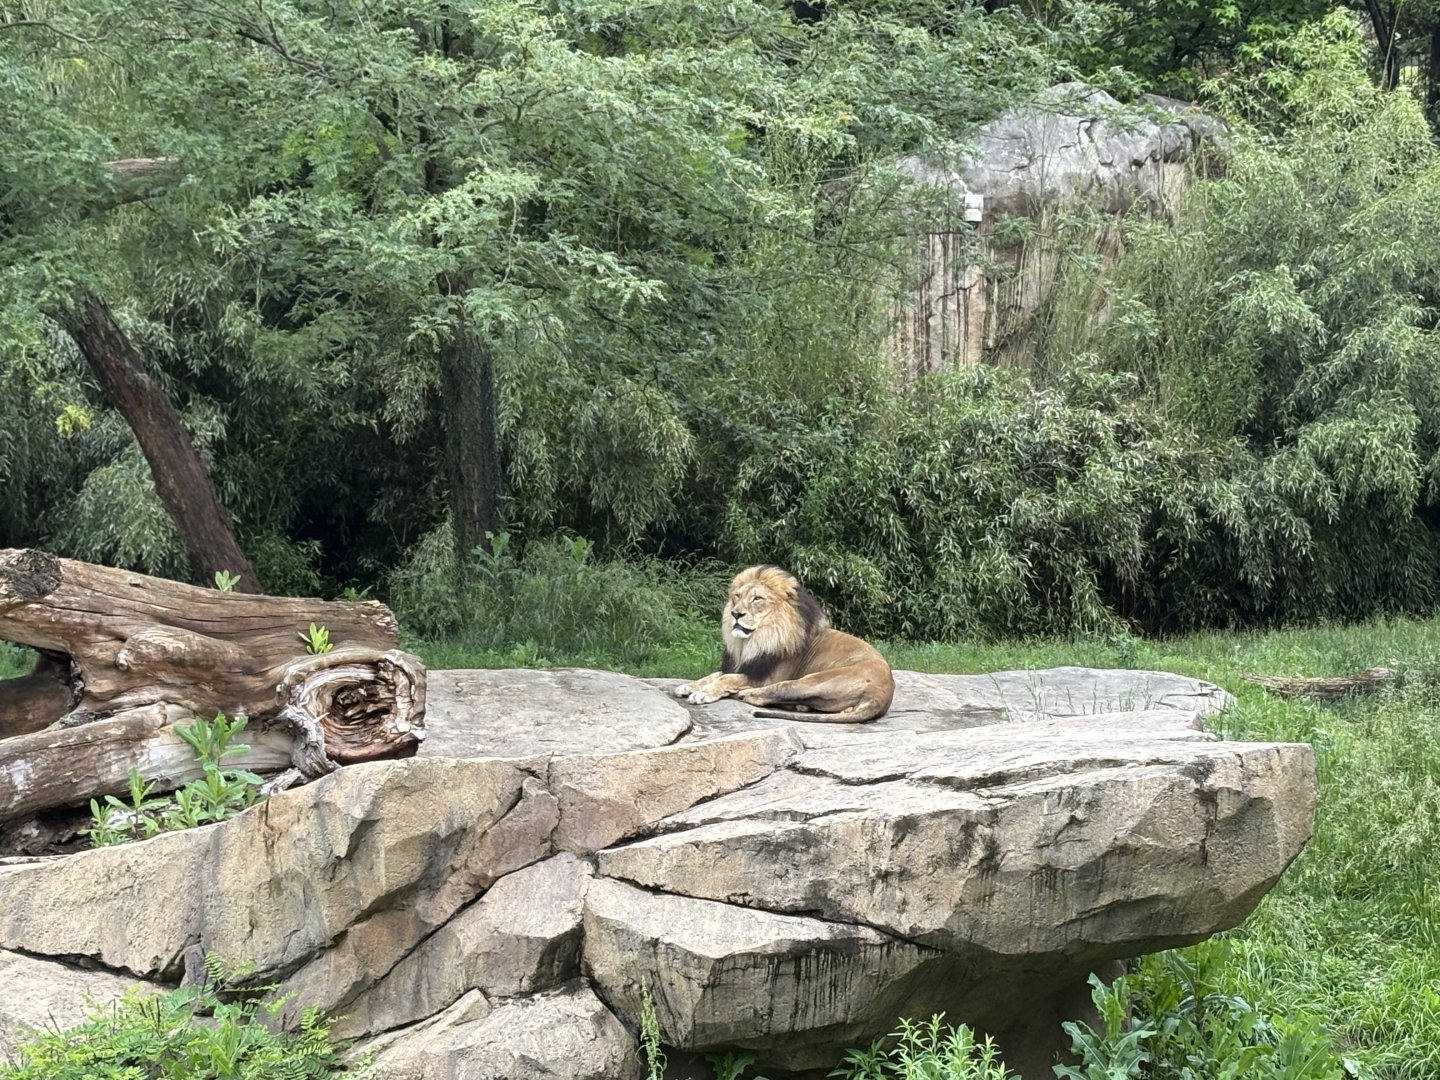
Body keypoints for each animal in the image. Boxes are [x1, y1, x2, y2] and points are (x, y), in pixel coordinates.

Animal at [673, 565, 895, 723]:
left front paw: (703, 693)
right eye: (737, 596)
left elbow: (726, 678)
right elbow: (715, 674)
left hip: (806, 681)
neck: (753, 641)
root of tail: (881, 696)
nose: (735, 613)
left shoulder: (764, 676)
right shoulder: (745, 665)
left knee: (760, 696)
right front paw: (689, 686)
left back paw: (743, 694)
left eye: (757, 599)